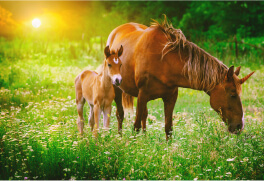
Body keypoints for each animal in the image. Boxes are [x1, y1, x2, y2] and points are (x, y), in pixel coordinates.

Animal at [106, 16, 254, 140]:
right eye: (232, 94)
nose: (239, 126)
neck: (162, 60)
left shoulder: (170, 97)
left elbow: (168, 128)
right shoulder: (143, 95)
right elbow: (135, 127)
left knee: (144, 115)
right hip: (117, 88)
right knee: (120, 114)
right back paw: (119, 138)